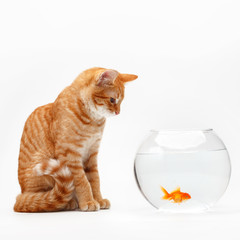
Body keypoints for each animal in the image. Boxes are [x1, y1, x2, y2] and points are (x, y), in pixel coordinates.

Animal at [14, 67, 137, 212]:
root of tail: (21, 196)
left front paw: (98, 199)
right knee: (43, 198)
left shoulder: (92, 154)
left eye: (121, 101)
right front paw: (88, 201)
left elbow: (95, 180)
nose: (118, 112)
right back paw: (67, 202)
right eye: (112, 100)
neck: (93, 121)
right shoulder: (69, 154)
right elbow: (82, 181)